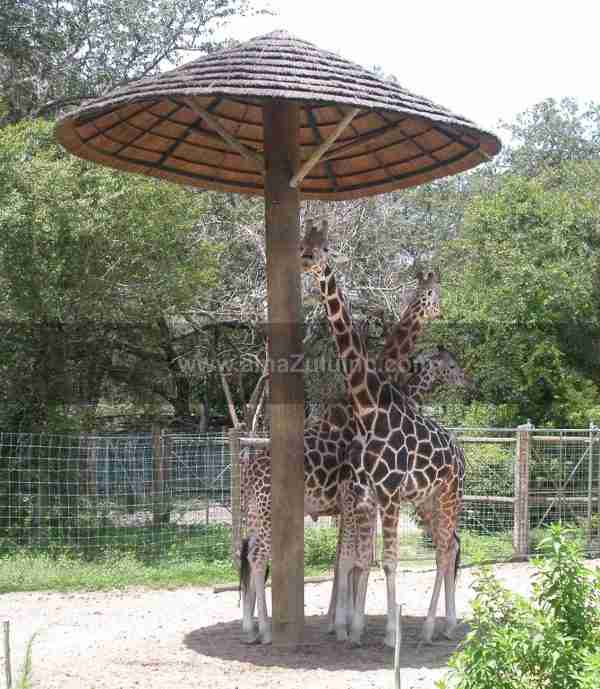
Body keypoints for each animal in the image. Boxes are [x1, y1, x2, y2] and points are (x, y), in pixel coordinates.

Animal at [237, 346, 466, 644]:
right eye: (451, 365)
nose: (466, 382)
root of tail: (249, 471)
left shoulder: (350, 507)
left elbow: (346, 560)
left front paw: (340, 622)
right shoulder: (353, 503)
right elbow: (353, 559)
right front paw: (344, 625)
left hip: (255, 513)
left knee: (248, 554)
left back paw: (250, 628)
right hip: (267, 513)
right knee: (258, 557)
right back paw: (264, 630)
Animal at [302, 220, 466, 644]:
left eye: (324, 247)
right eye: (304, 243)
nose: (305, 259)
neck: (371, 405)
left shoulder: (385, 495)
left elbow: (377, 559)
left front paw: (376, 630)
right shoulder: (366, 494)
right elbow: (364, 558)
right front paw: (353, 627)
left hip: (445, 496)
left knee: (447, 548)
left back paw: (439, 626)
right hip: (425, 501)